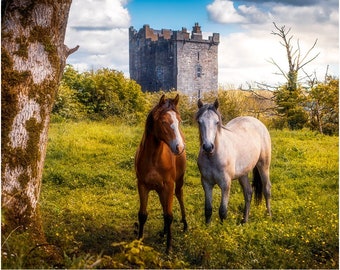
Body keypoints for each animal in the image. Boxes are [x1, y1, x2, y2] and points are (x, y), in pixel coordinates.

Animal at [135, 94, 187, 252]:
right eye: (164, 122)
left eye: (179, 121)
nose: (179, 147)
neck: (154, 158)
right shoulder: (142, 185)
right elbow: (142, 215)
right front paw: (138, 242)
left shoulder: (169, 185)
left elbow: (169, 216)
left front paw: (168, 248)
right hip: (159, 188)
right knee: (164, 206)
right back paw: (163, 232)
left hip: (177, 182)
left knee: (179, 196)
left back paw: (185, 224)